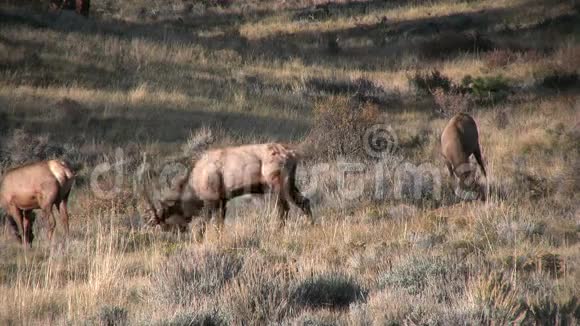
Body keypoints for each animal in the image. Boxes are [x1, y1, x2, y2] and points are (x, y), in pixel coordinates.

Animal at [144, 143, 314, 239]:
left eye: (165, 223)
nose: (177, 233)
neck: (194, 188)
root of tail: (293, 155)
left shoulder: (212, 200)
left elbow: (204, 224)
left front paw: (199, 239)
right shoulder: (223, 200)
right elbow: (220, 223)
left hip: (276, 183)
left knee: (284, 208)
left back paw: (278, 231)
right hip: (290, 183)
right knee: (304, 201)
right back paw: (311, 224)